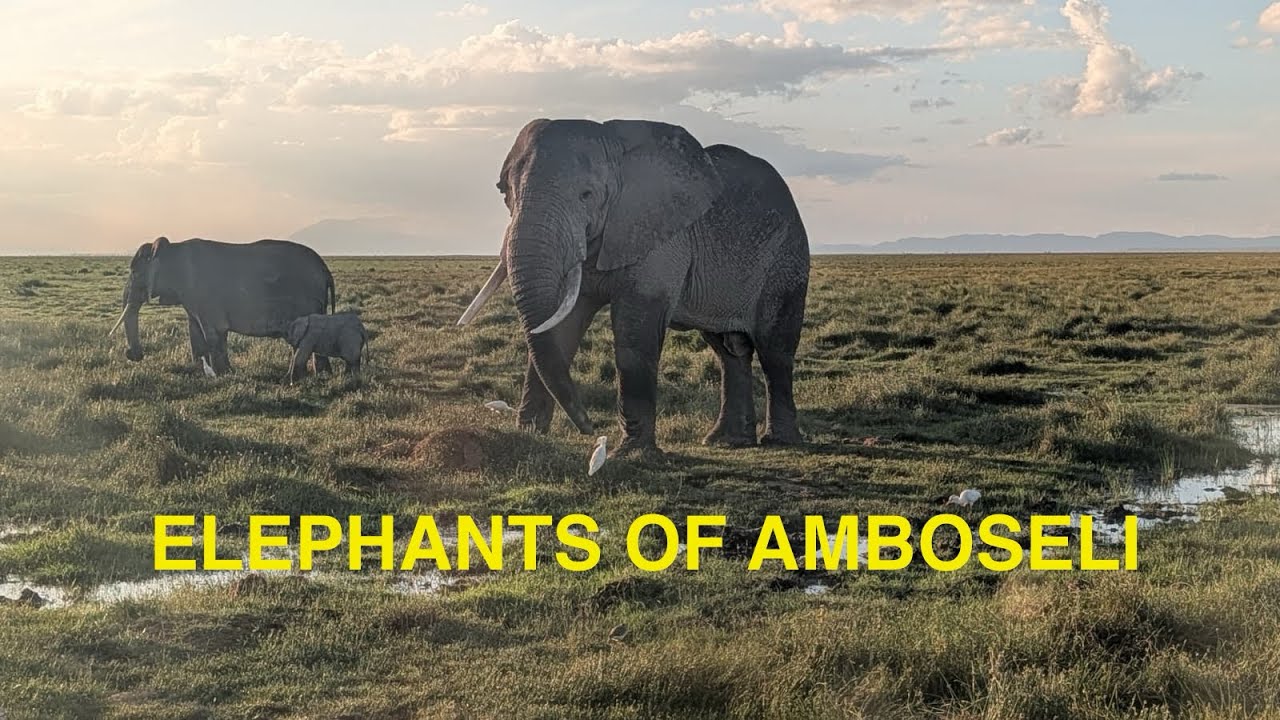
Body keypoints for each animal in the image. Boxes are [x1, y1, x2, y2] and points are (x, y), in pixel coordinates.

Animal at [110, 236, 336, 374]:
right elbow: (194, 331)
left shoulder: (204, 295)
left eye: (134, 272)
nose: (132, 355)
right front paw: (201, 372)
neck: (172, 248)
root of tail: (325, 269)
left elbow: (213, 331)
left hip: (308, 300)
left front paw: (222, 374)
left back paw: (316, 375)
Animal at [457, 118, 810, 457]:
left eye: (587, 194)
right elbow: (561, 325)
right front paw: (530, 436)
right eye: (504, 192)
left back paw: (779, 441)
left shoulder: (658, 234)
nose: (588, 427)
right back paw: (726, 441)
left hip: (786, 259)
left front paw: (630, 453)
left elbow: (635, 328)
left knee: (775, 350)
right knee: (729, 352)